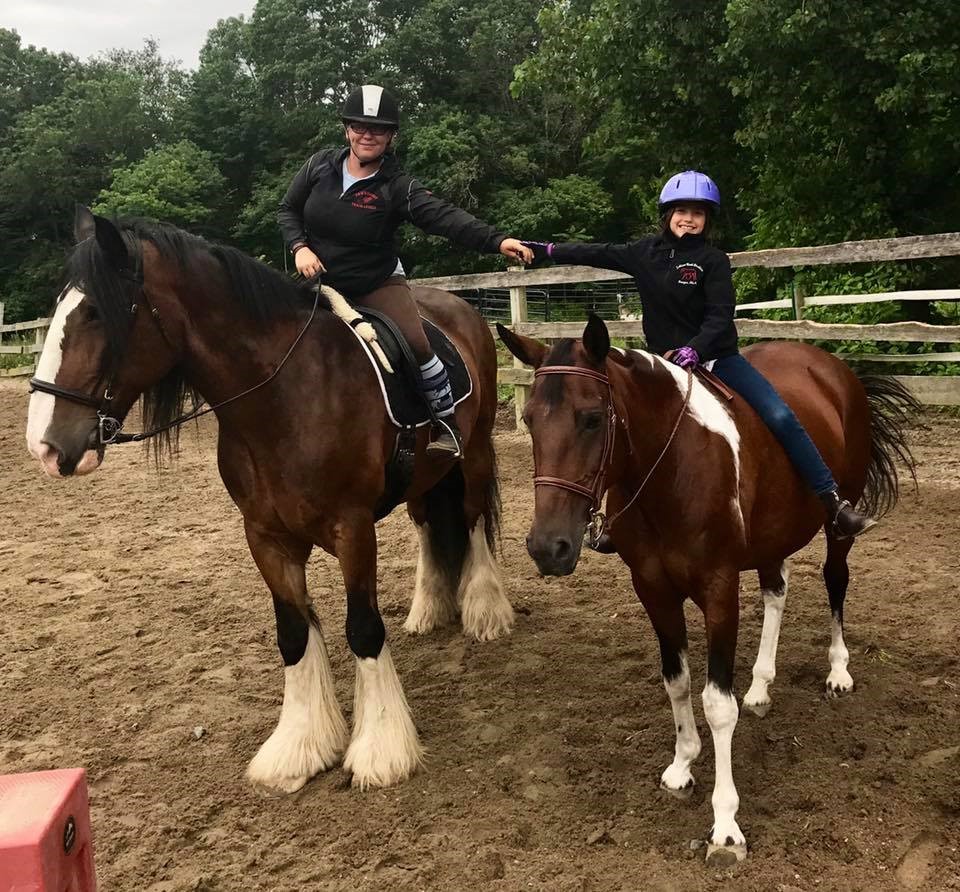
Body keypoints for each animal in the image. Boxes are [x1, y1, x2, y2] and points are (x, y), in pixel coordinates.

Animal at [24, 211, 516, 796]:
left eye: (97, 313)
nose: (45, 445)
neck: (283, 395)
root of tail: (459, 308)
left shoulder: (353, 529)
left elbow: (363, 629)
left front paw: (380, 750)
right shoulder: (264, 536)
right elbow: (294, 633)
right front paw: (299, 749)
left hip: (475, 452)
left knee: (473, 518)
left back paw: (485, 611)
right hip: (422, 478)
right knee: (427, 526)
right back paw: (429, 608)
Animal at [498, 314, 920, 864]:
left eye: (591, 418)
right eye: (529, 420)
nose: (549, 548)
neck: (671, 469)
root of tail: (829, 365)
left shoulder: (719, 591)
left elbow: (718, 704)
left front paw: (725, 824)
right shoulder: (653, 590)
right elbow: (676, 682)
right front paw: (682, 764)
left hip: (837, 526)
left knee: (835, 581)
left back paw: (838, 671)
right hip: (771, 538)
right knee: (776, 591)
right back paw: (761, 685)